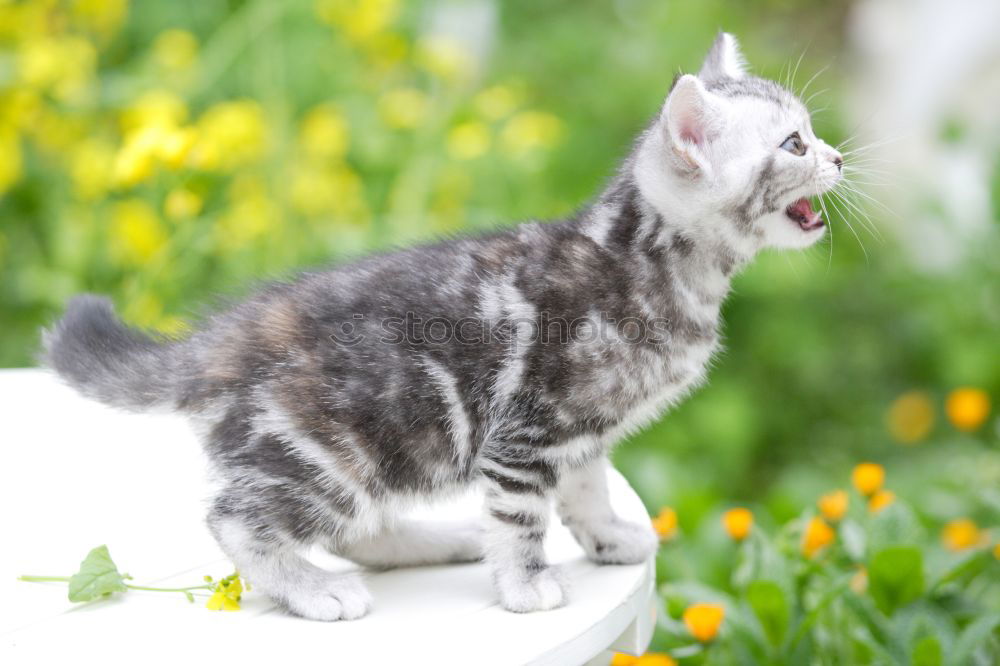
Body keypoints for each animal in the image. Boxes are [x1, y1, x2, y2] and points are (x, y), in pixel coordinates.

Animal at [47, 33, 844, 620]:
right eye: (793, 145)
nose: (838, 156)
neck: (650, 263)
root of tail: (224, 338)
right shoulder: (527, 433)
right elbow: (523, 517)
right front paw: (525, 585)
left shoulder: (583, 427)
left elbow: (586, 486)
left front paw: (608, 535)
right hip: (338, 448)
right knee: (237, 519)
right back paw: (310, 587)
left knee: (358, 529)